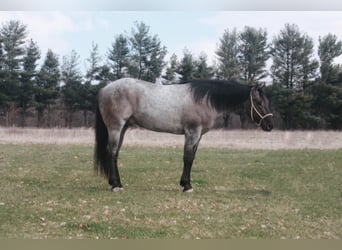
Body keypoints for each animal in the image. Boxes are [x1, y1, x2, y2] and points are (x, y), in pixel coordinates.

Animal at [93, 77, 272, 192]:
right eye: (258, 102)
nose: (270, 125)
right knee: (112, 152)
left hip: (123, 128)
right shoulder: (192, 132)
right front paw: (187, 186)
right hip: (116, 127)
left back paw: (114, 182)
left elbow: (192, 158)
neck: (203, 100)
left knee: (115, 153)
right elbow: (187, 158)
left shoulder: (198, 135)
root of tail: (104, 89)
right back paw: (116, 185)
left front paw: (186, 183)